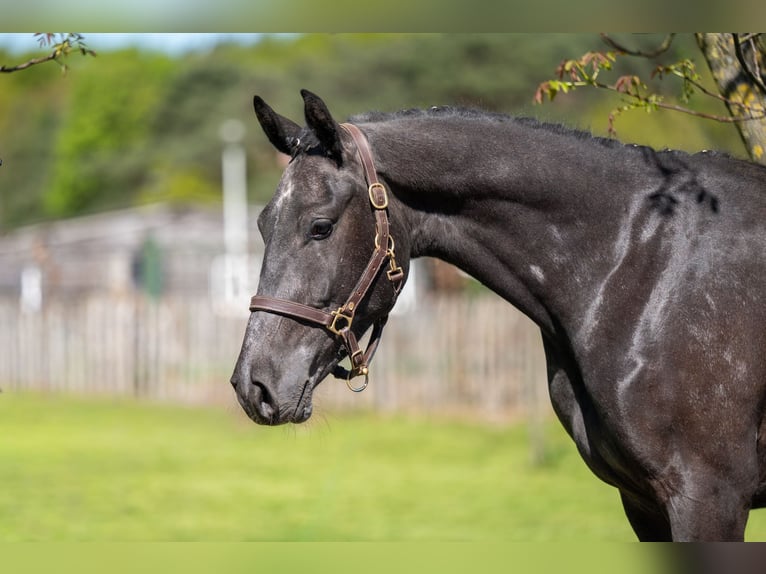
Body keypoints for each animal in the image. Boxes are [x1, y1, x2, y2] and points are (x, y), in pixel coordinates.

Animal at [230, 89, 766, 541]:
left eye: (320, 227)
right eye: (261, 224)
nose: (253, 385)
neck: (643, 264)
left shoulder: (707, 496)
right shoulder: (643, 502)